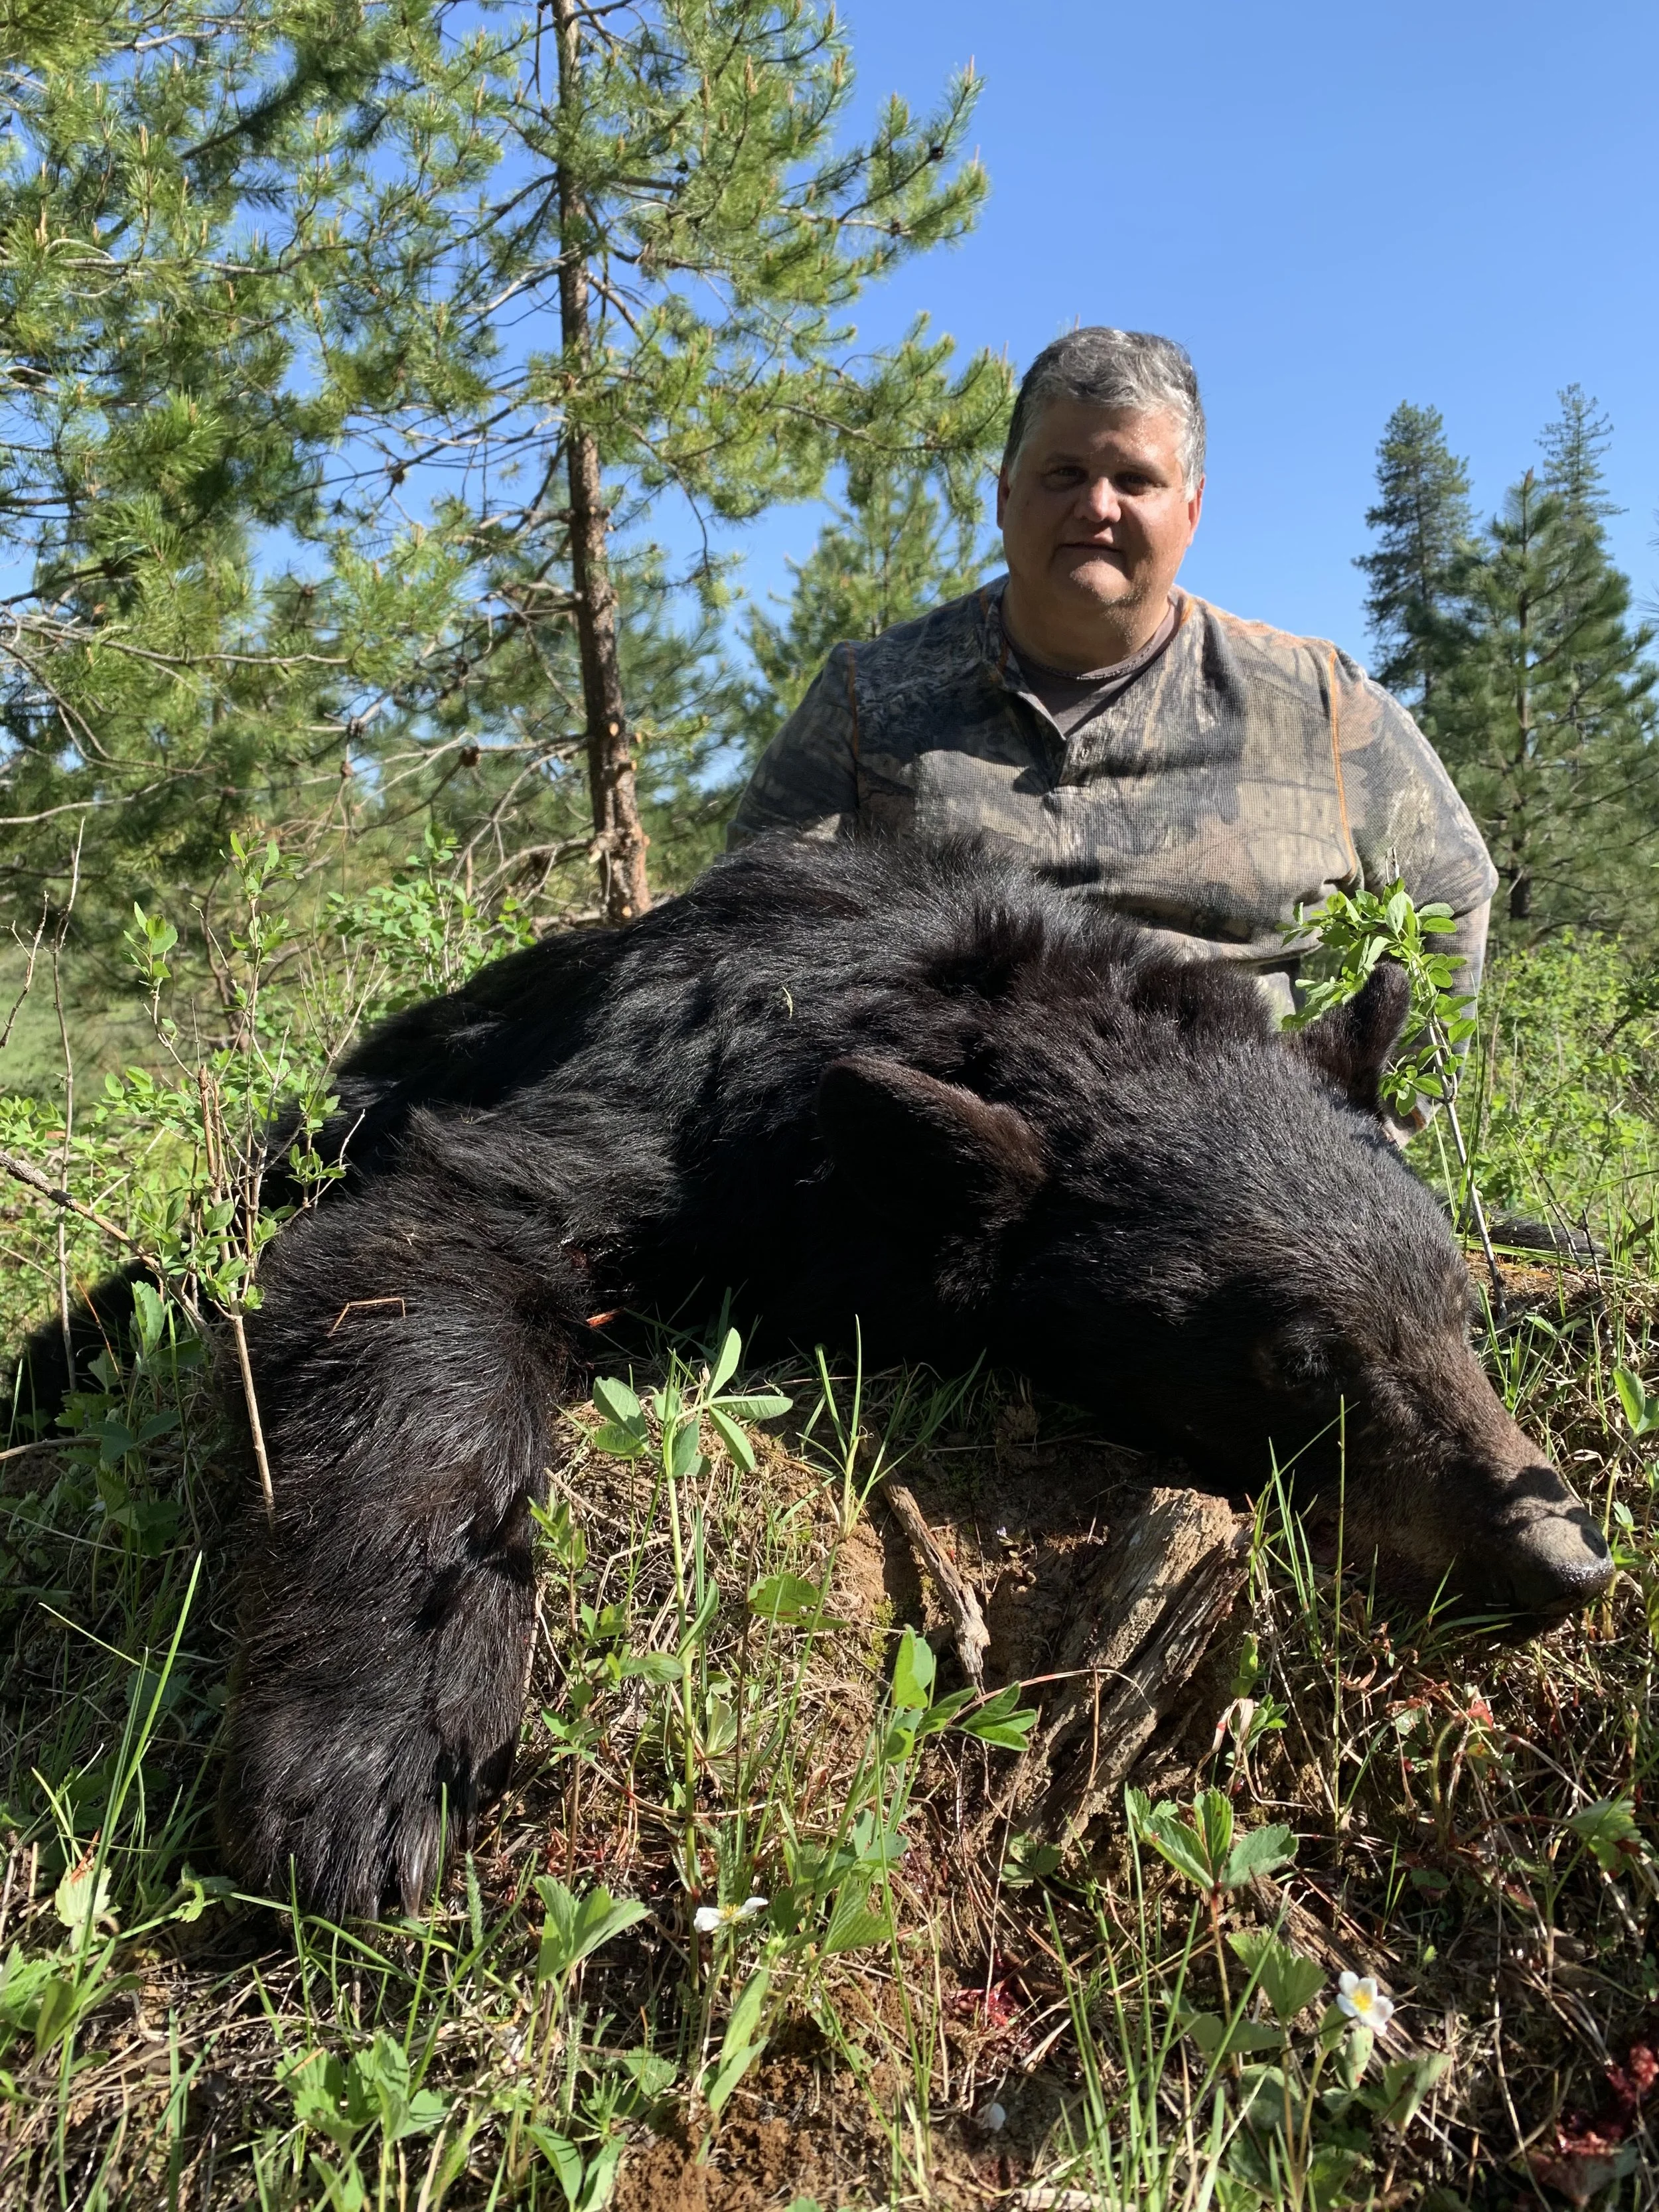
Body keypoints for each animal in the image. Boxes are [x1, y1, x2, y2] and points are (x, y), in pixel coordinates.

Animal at [203, 835, 1609, 1918]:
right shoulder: (648, 1091)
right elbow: (424, 1252)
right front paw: (376, 1755)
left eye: (1455, 1306)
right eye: (1303, 1360)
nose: (1561, 1562)